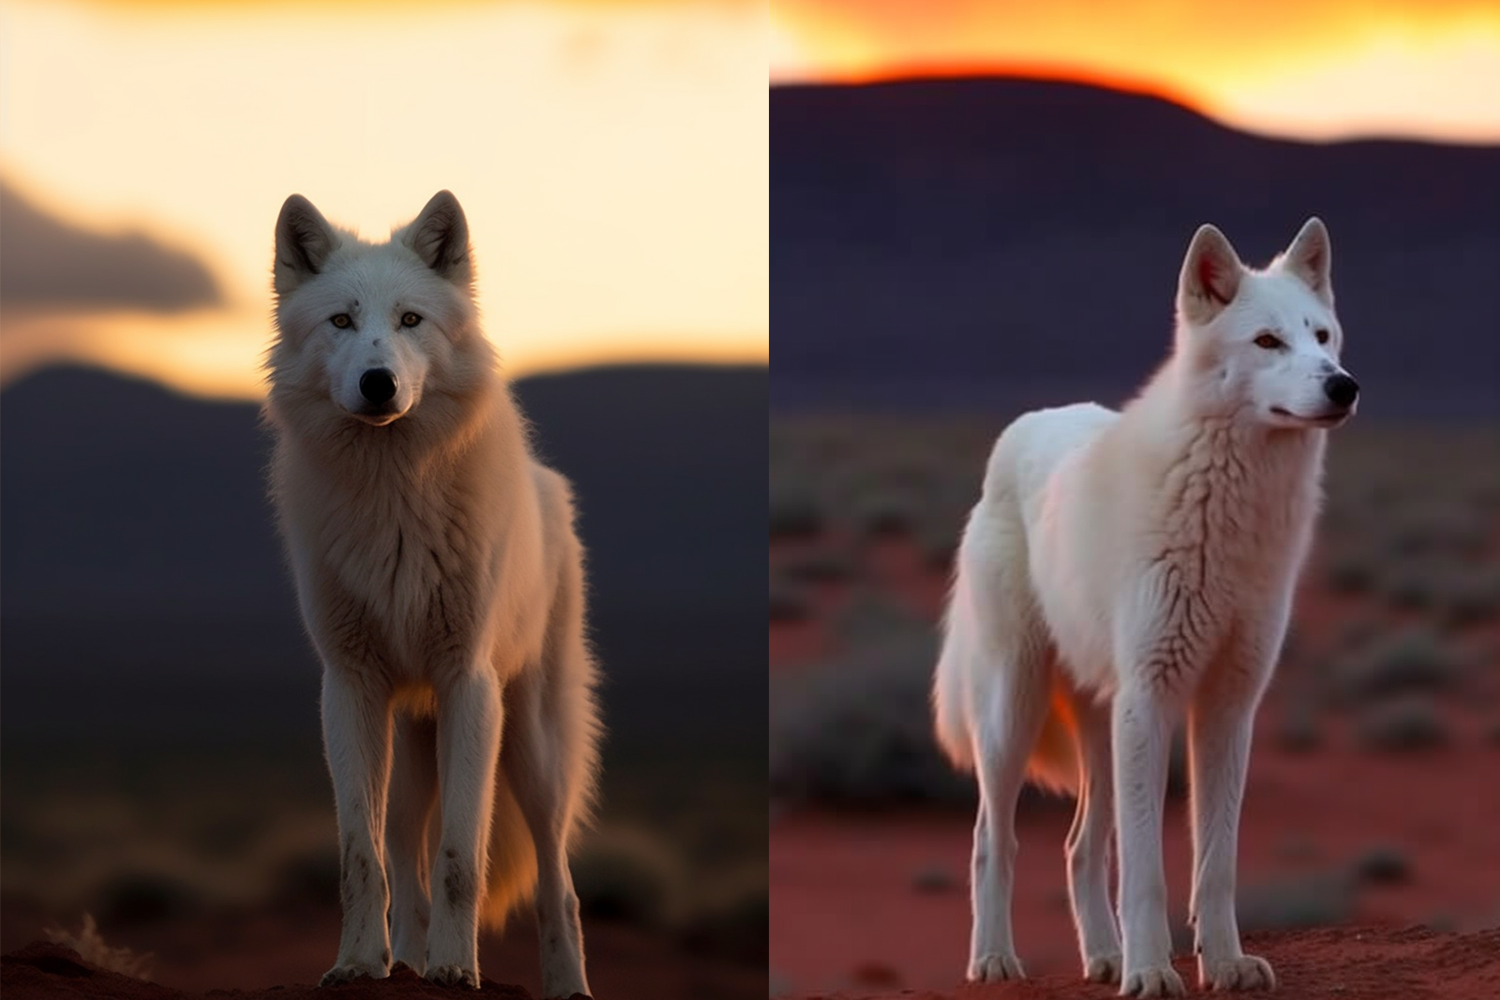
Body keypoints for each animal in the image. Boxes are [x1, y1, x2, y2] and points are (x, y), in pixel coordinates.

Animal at [267, 191, 600, 995]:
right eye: (343, 321)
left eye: (411, 319)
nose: (379, 382)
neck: (393, 502)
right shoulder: (350, 688)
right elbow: (361, 858)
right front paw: (359, 963)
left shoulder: (467, 683)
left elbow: (460, 857)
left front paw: (455, 967)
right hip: (410, 744)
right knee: (404, 864)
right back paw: (405, 960)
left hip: (532, 747)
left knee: (558, 883)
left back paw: (565, 983)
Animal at [930, 217, 1356, 995]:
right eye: (1267, 342)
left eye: (1322, 337)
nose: (1344, 385)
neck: (1231, 508)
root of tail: (1024, 426)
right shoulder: (1155, 695)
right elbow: (1148, 871)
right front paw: (1154, 971)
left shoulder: (1229, 704)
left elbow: (1215, 863)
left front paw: (1224, 963)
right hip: (1015, 714)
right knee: (991, 840)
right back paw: (995, 959)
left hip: (1104, 722)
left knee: (1079, 846)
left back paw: (1102, 957)